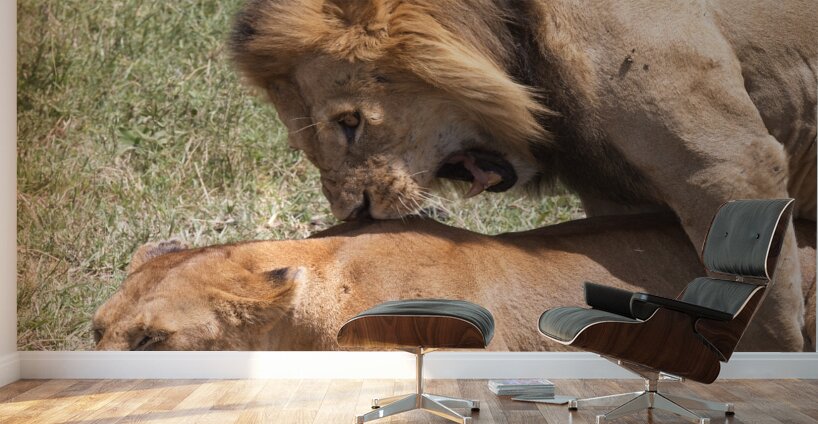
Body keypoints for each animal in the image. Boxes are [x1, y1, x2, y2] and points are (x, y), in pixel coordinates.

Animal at [229, 0, 817, 351]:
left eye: (350, 123)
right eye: (304, 144)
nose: (356, 214)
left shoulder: (731, 164)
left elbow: (768, 321)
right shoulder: (624, 199)